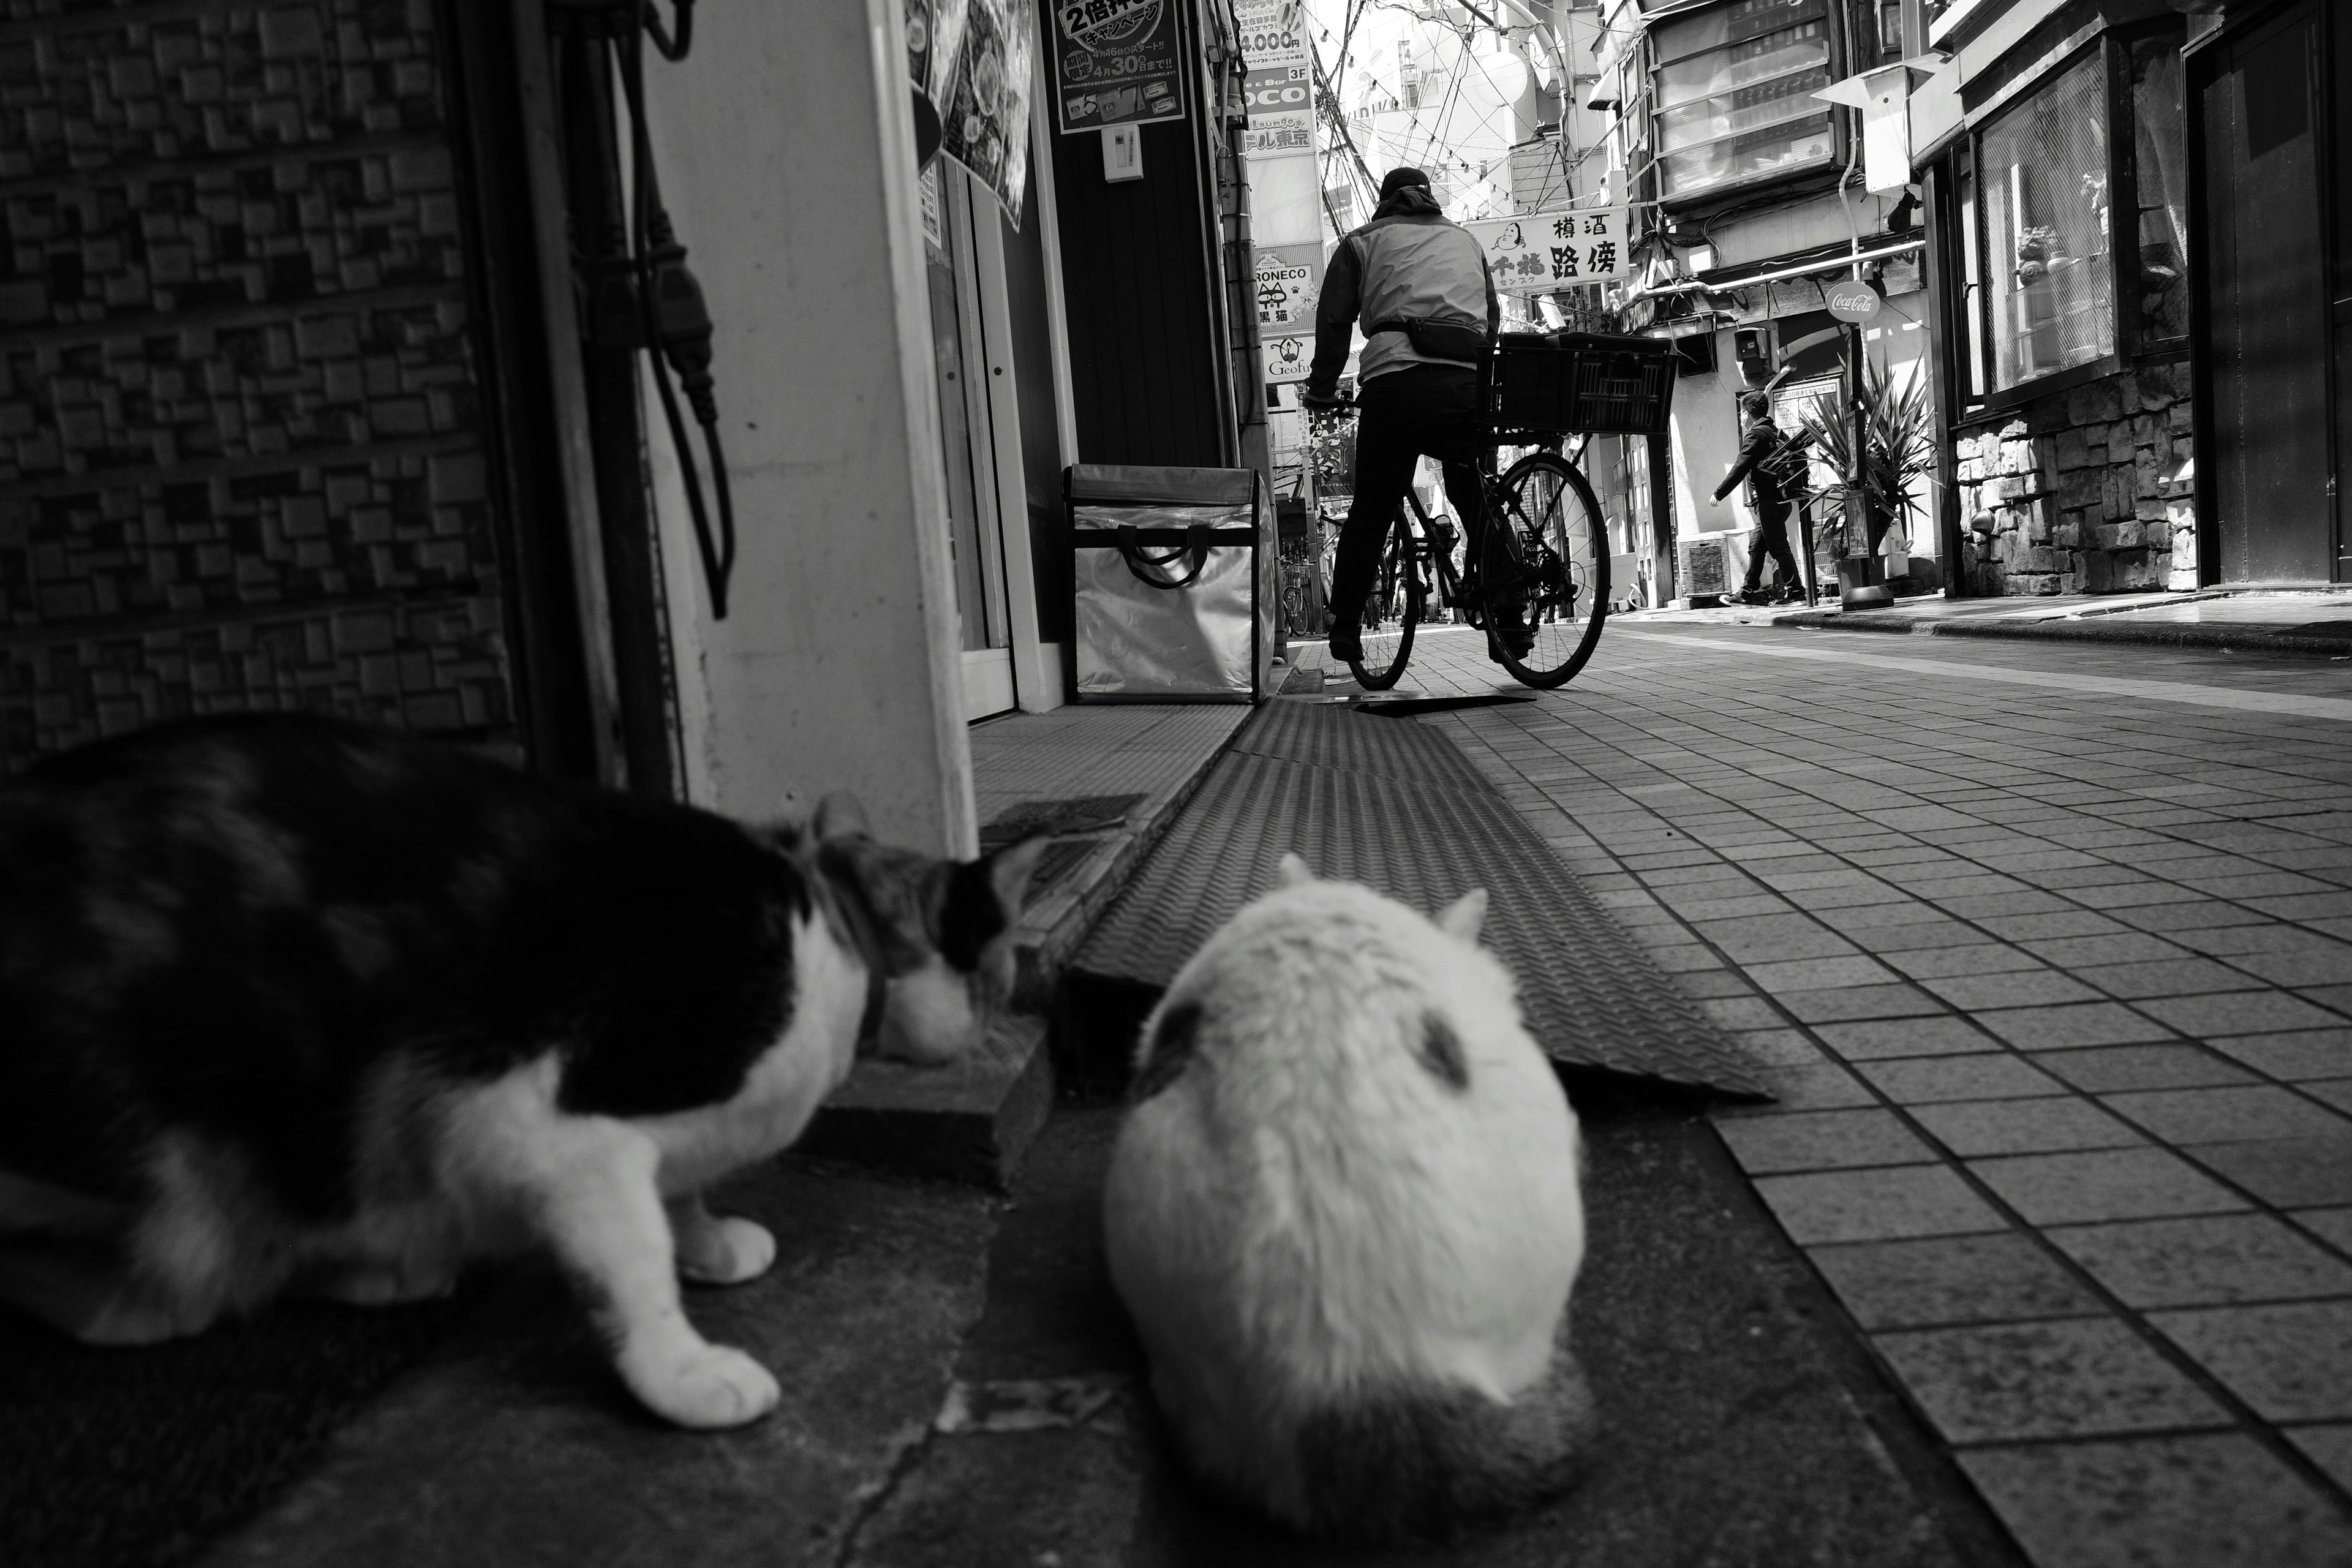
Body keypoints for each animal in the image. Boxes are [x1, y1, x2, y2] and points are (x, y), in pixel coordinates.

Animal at [0, 719, 1039, 1429]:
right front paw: (684, 1372)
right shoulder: (544, 1122)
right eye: (1001, 968)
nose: (1007, 1011)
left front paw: (709, 1245)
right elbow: (631, 1260)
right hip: (178, 1143)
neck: (836, 934)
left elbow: (678, 1196)